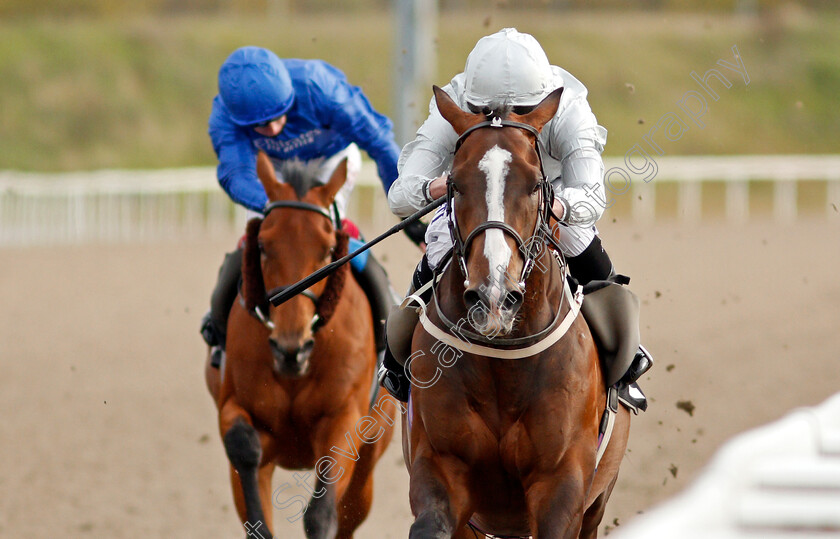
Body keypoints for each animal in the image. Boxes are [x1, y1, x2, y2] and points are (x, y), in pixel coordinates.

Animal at [207, 153, 398, 539]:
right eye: (262, 246)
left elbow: (321, 514)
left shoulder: (344, 420)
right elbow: (242, 447)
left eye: (327, 250)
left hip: (369, 461)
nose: (289, 349)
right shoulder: (235, 406)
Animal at [400, 86, 632, 536]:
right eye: (455, 184)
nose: (493, 296)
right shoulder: (440, 466)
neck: (502, 362)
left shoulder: (562, 482)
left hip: (597, 501)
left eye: (534, 184)